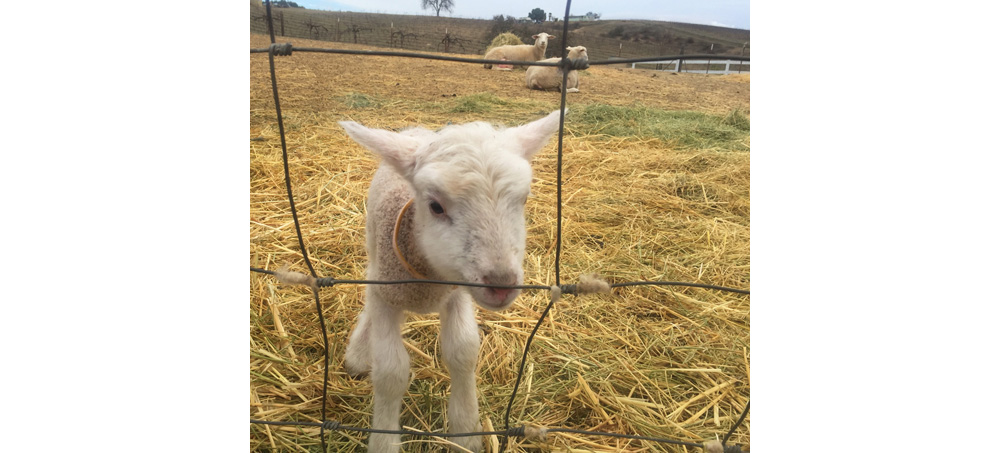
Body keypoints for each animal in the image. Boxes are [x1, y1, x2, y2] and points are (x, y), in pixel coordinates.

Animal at [338, 110, 564, 452]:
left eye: (524, 199)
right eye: (435, 206)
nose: (502, 283)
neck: (427, 280)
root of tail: (418, 130)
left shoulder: (457, 293)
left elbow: (463, 352)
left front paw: (466, 431)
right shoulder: (387, 294)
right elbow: (390, 371)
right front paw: (384, 440)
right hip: (373, 247)